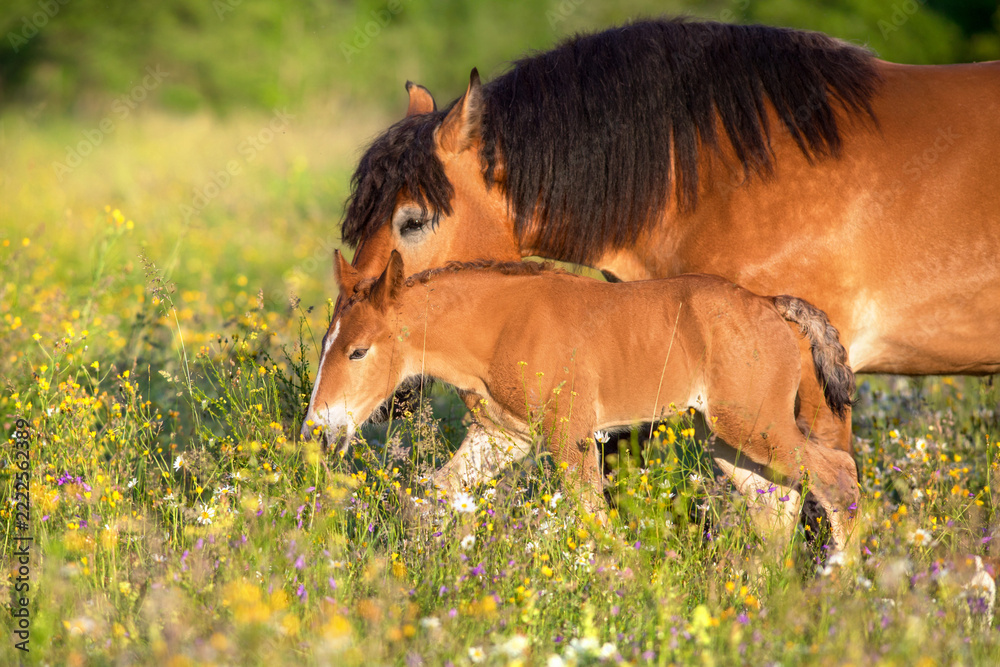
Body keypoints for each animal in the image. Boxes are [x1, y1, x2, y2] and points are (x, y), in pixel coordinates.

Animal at [302, 250, 861, 550]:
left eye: (357, 351)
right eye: (326, 342)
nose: (318, 429)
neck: (500, 327)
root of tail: (768, 304)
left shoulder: (568, 435)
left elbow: (593, 516)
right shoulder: (502, 436)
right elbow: (429, 497)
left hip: (753, 424)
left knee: (838, 476)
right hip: (726, 439)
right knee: (777, 503)